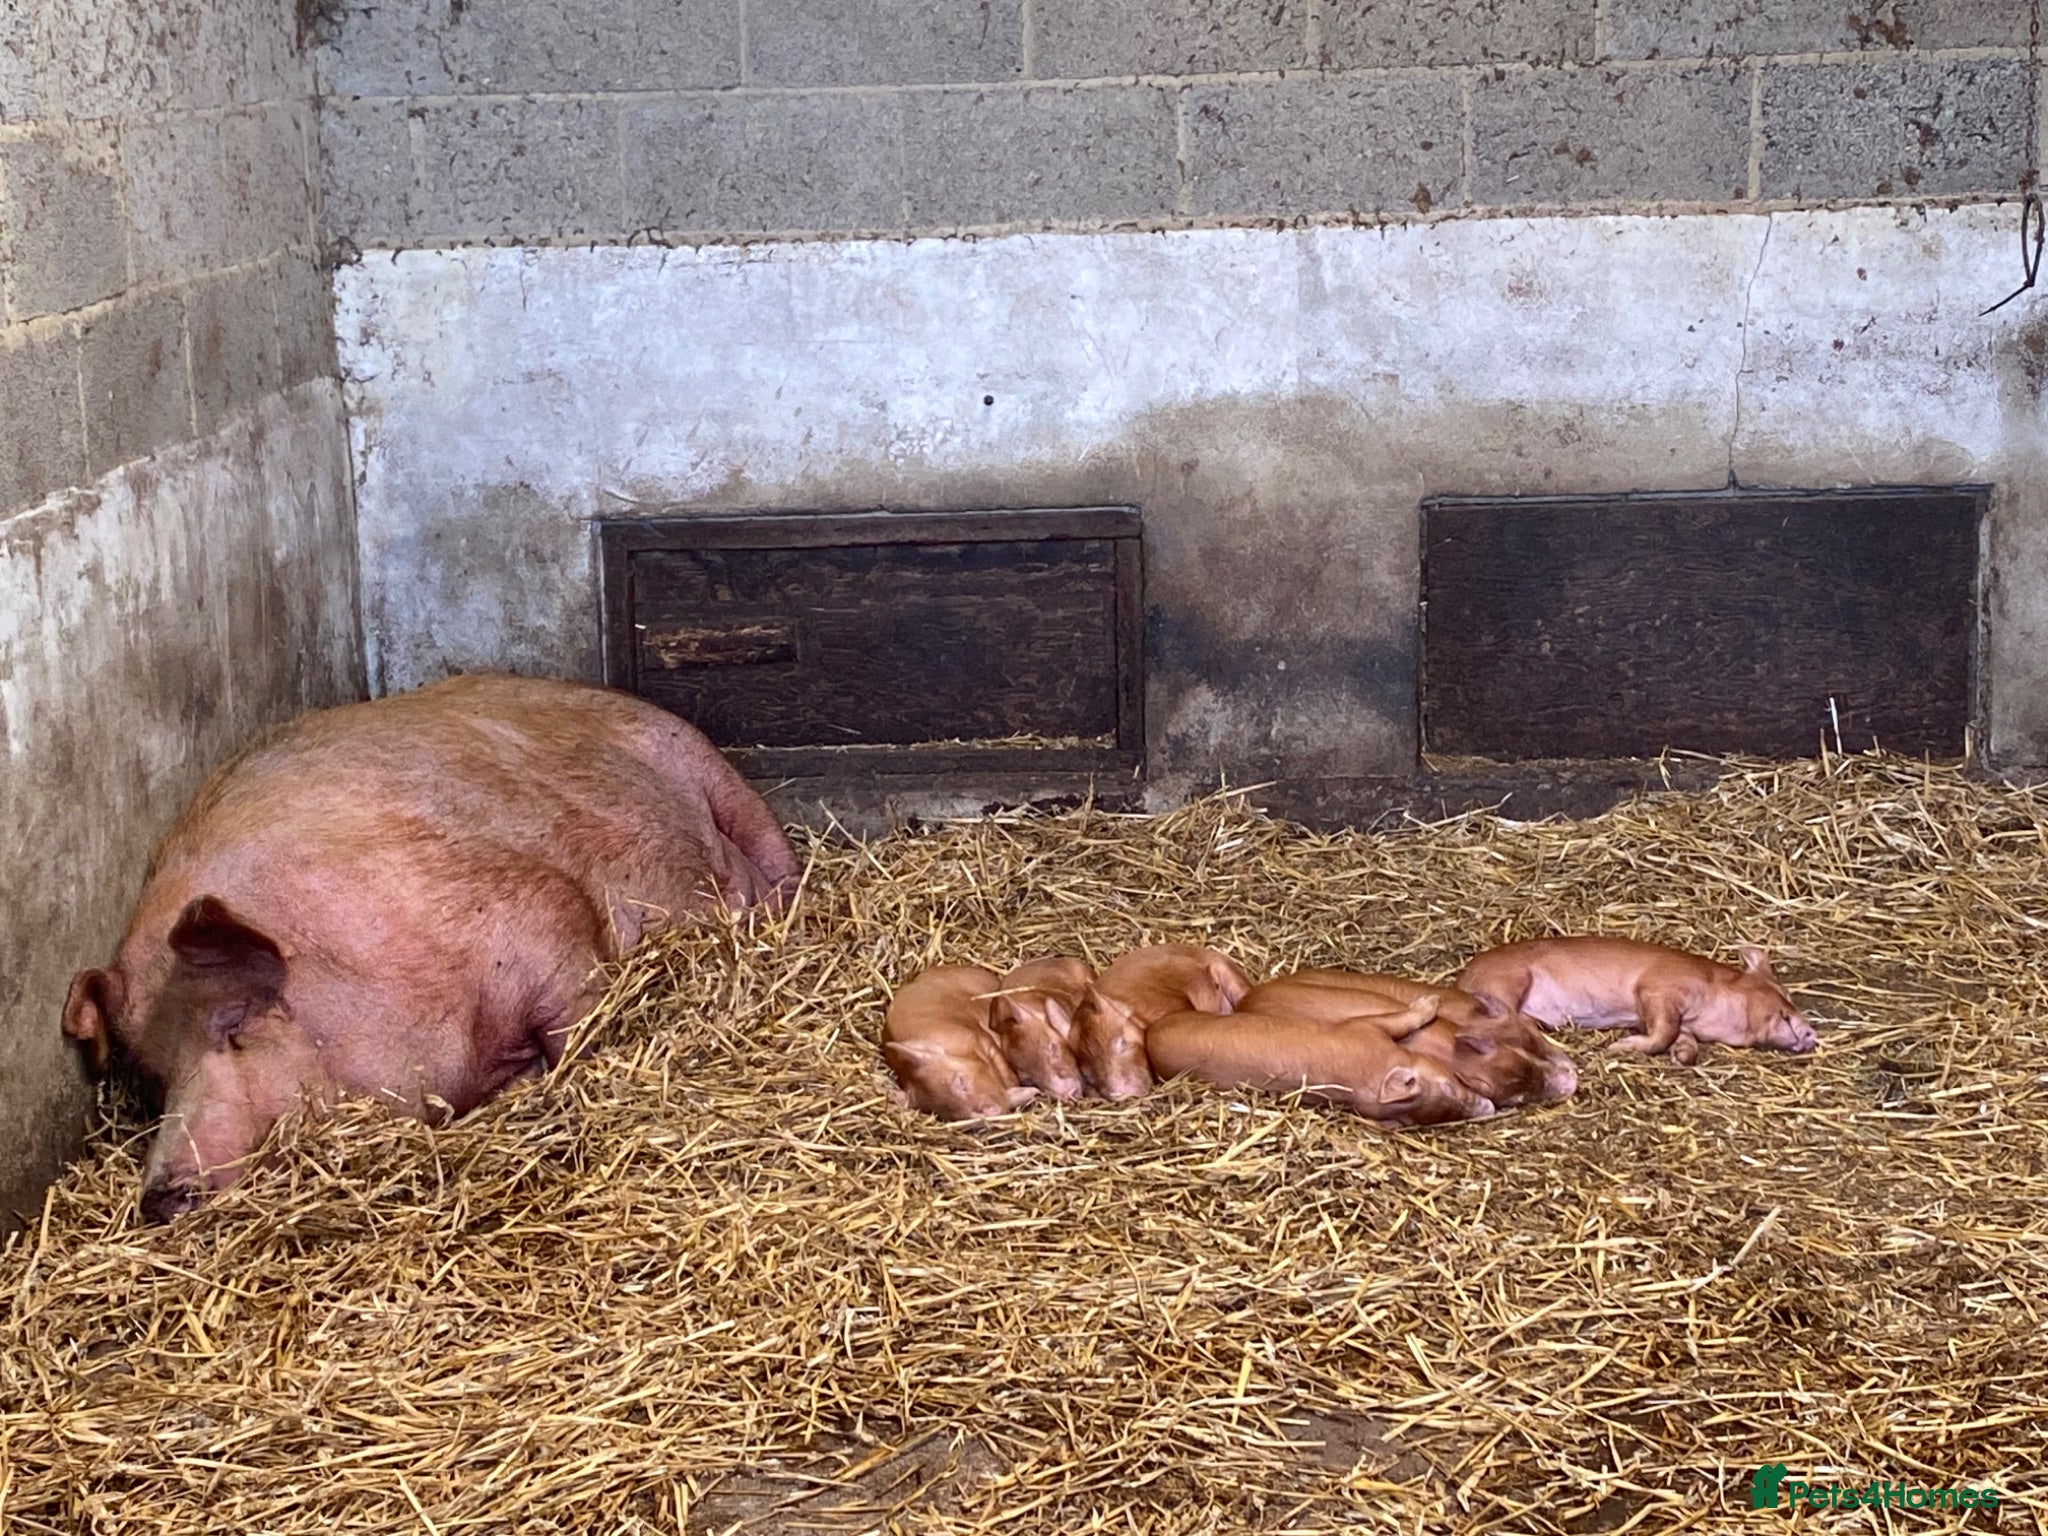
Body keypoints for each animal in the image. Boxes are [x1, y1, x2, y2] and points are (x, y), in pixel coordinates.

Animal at [60, 674, 802, 1221]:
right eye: (153, 1075)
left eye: (235, 1025)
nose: (160, 1197)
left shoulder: (541, 918)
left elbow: (576, 1023)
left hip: (703, 762)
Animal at [1146, 997, 1497, 1127]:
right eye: (1449, 1087)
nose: (1489, 1108)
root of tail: (1150, 1035)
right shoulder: (1363, 1030)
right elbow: (1400, 1020)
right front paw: (1430, 1003)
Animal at [1455, 937, 1818, 1067]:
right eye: (1785, 999)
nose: (1812, 1033)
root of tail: (1464, 977)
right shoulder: (1657, 989)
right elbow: (1663, 1031)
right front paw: (1618, 1048)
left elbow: (1681, 1039)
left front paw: (1681, 1058)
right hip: (1509, 979)